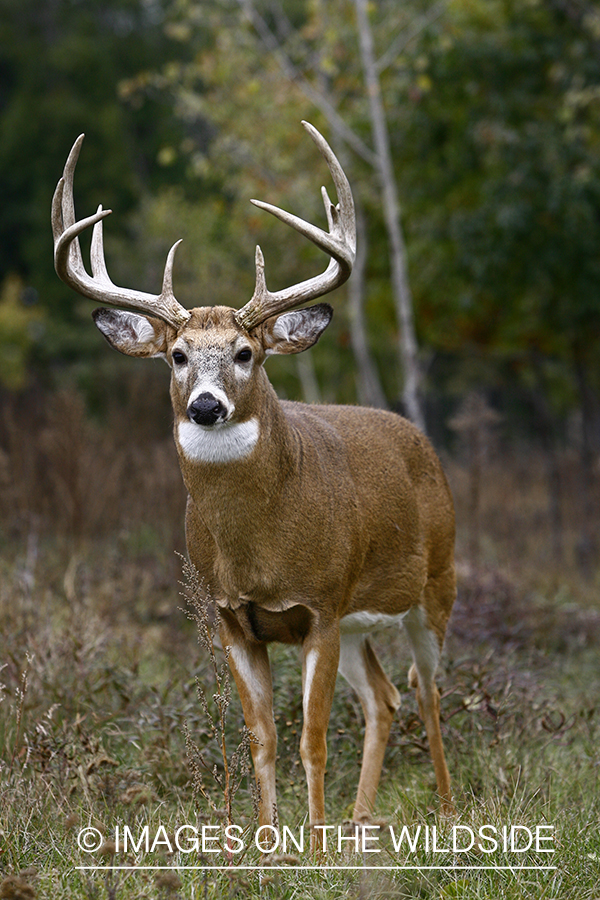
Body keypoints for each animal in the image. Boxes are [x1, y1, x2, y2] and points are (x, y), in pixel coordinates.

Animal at [52, 121, 454, 844]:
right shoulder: (233, 618)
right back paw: (359, 823)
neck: (262, 548)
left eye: (246, 353)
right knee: (384, 697)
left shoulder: (320, 604)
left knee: (429, 689)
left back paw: (446, 812)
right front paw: (267, 847)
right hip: (360, 620)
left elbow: (311, 740)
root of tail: (420, 441)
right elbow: (260, 740)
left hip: (436, 582)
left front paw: (312, 848)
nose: (206, 405)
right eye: (177, 355)